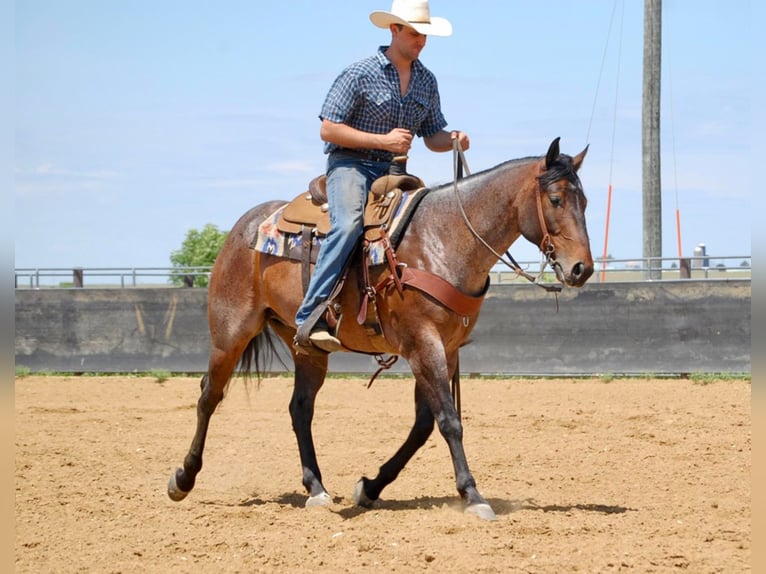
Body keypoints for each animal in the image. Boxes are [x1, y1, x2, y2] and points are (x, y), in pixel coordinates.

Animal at [171, 138, 596, 520]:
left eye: (586, 202)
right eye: (555, 200)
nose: (582, 269)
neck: (443, 239)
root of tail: (245, 226)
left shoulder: (447, 348)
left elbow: (424, 425)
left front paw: (370, 487)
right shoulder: (423, 344)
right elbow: (448, 420)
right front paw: (474, 496)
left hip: (304, 346)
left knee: (300, 408)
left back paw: (317, 489)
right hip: (230, 332)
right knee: (209, 395)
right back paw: (183, 479)